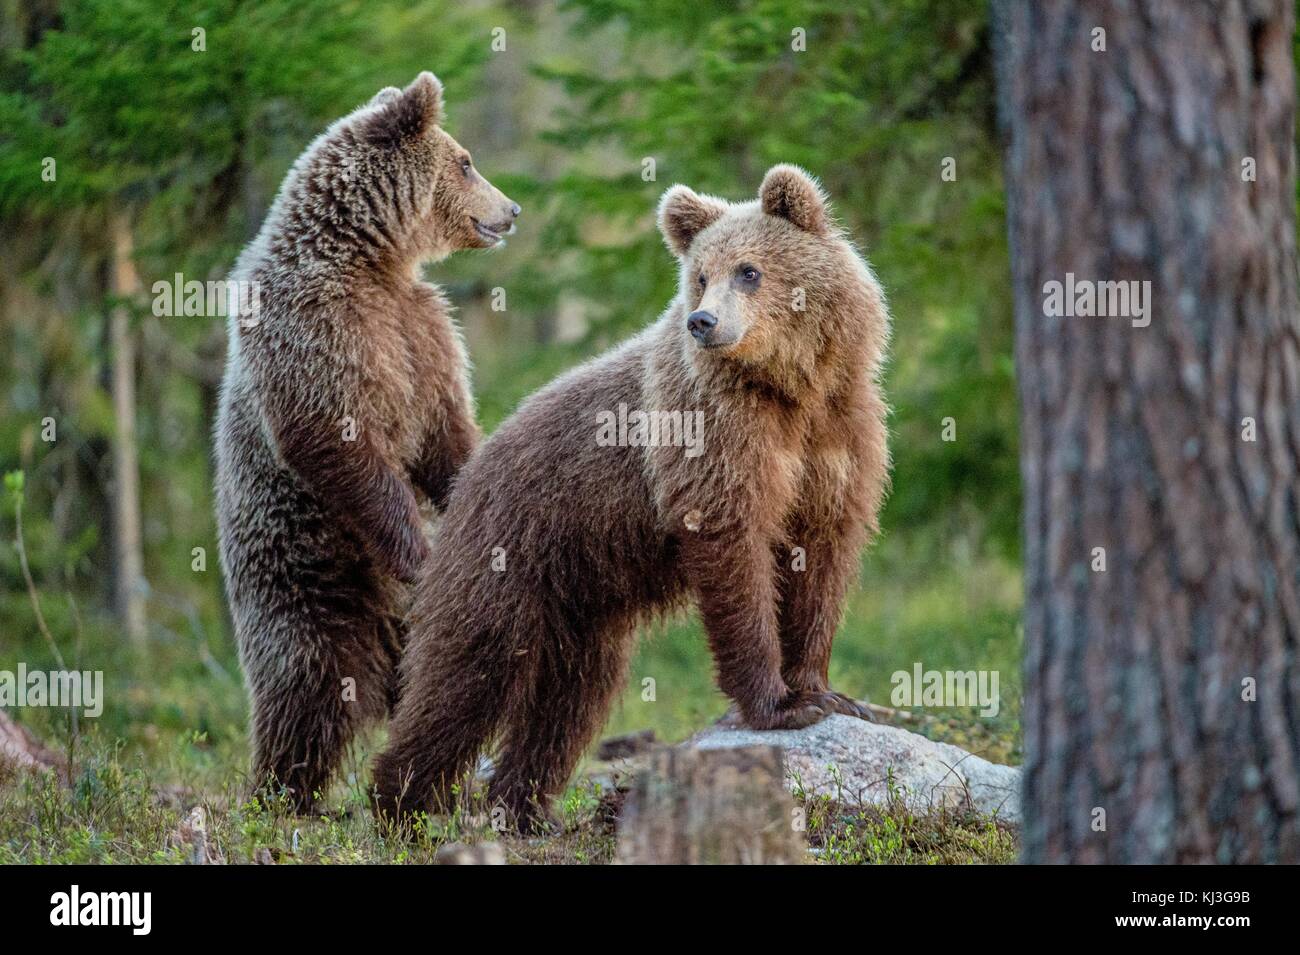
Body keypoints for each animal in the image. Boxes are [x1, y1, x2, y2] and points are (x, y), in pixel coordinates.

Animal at [214, 72, 519, 812]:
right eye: (466, 160)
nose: (512, 209)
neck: (369, 258)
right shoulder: (321, 330)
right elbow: (338, 443)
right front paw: (420, 552)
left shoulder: (422, 331)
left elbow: (445, 435)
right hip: (305, 586)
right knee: (306, 692)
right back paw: (284, 797)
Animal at [371, 164, 889, 829]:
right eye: (701, 275)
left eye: (749, 270)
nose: (704, 322)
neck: (788, 386)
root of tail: (472, 467)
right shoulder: (713, 434)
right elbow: (734, 548)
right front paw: (777, 703)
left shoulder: (838, 435)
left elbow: (822, 556)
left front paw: (825, 691)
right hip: (507, 550)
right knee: (467, 672)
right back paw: (401, 804)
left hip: (581, 594)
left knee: (570, 699)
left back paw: (524, 808)